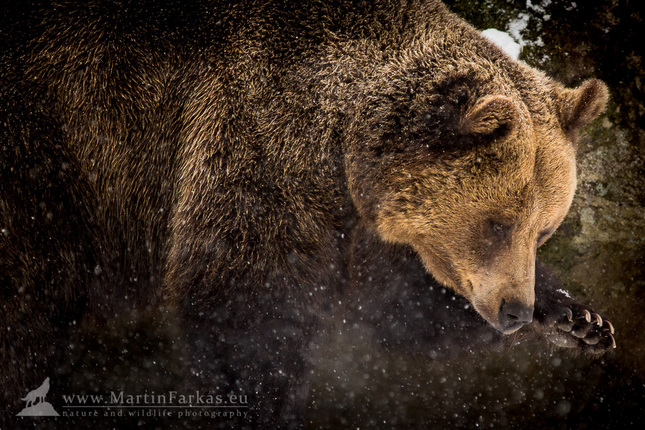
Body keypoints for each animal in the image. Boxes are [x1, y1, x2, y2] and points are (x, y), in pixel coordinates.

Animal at [0, 0, 612, 424]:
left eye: (544, 231)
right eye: (496, 223)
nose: (515, 311)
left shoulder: (367, 218)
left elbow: (395, 303)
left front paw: (578, 320)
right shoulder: (253, 143)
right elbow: (247, 297)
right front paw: (260, 396)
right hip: (45, 165)